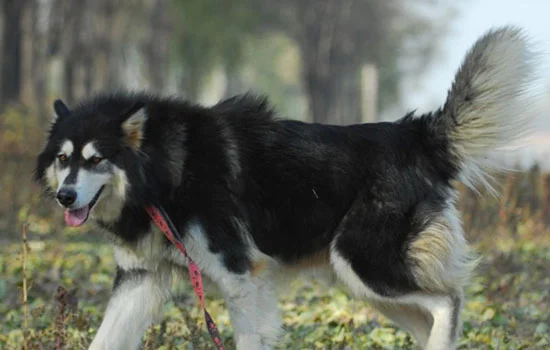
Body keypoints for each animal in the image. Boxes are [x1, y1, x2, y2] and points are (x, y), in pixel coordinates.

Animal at [35, 28, 540, 350]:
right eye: (63, 159)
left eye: (95, 160)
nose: (66, 197)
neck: (165, 171)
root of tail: (412, 134)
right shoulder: (142, 278)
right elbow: (105, 340)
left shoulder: (242, 277)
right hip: (363, 283)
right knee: (431, 316)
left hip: (365, 263)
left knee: (448, 301)